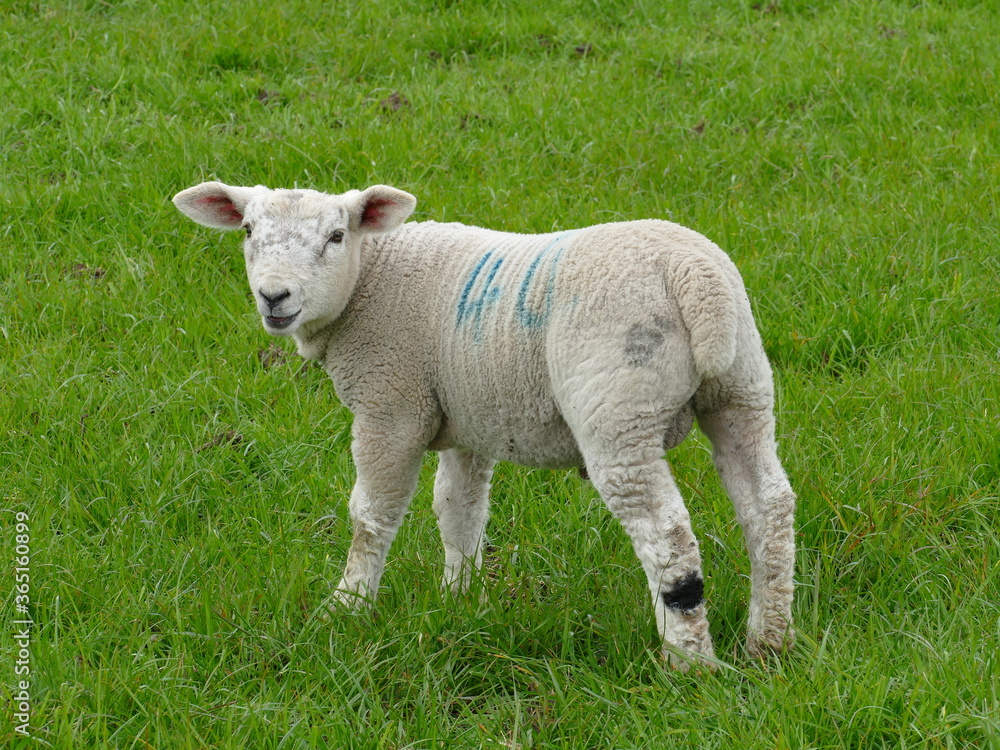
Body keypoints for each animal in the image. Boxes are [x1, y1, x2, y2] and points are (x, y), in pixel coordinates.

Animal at [172, 181, 797, 670]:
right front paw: (459, 602)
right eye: (247, 230)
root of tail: (696, 279)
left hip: (620, 410)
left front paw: (346, 608)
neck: (371, 280)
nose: (274, 297)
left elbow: (371, 516)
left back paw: (689, 662)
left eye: (336, 237)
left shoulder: (390, 407)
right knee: (768, 506)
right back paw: (769, 642)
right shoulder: (469, 420)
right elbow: (459, 512)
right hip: (742, 389)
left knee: (667, 537)